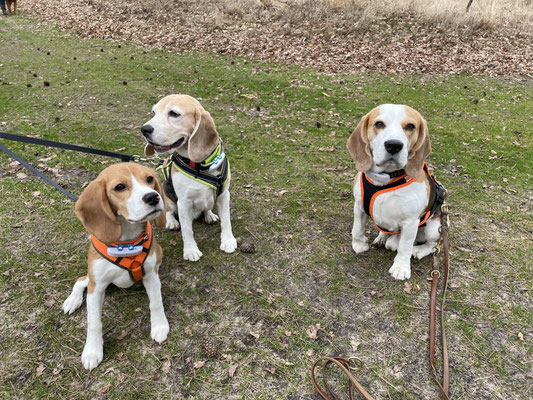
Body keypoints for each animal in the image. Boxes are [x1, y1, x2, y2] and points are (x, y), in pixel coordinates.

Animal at [63, 162, 169, 368]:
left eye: (149, 179)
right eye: (120, 187)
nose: (153, 197)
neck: (126, 242)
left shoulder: (150, 275)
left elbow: (156, 302)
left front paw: (160, 326)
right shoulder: (96, 287)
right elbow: (94, 322)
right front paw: (92, 351)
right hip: (92, 278)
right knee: (81, 280)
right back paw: (73, 300)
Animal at [140, 94, 236, 262]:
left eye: (174, 113)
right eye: (153, 112)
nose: (144, 129)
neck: (200, 165)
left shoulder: (224, 195)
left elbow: (226, 220)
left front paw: (228, 240)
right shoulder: (184, 202)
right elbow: (187, 230)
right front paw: (191, 250)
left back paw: (209, 215)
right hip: (168, 195)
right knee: (169, 210)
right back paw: (171, 221)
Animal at [348, 104, 442, 280]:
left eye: (410, 126)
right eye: (379, 124)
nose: (393, 145)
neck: (385, 179)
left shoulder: (411, 222)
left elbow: (404, 247)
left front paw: (401, 268)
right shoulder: (359, 206)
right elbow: (357, 228)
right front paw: (359, 244)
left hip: (434, 229)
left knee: (432, 245)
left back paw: (418, 250)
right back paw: (382, 237)